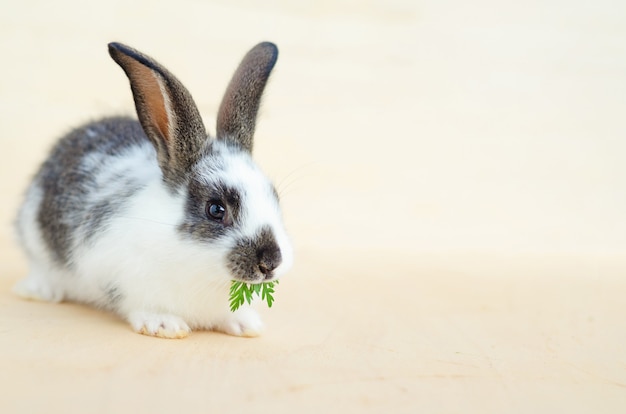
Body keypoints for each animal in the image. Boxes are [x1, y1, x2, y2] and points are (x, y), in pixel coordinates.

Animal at [12, 42, 294, 340]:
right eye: (216, 209)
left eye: (274, 197)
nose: (270, 262)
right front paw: (165, 326)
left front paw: (247, 324)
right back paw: (38, 291)